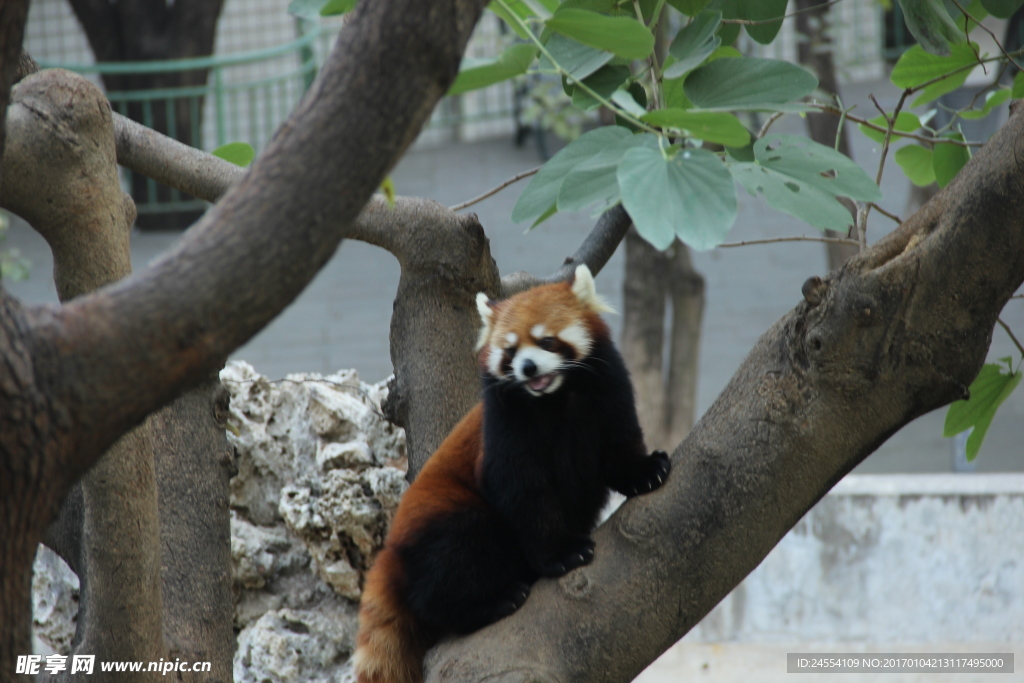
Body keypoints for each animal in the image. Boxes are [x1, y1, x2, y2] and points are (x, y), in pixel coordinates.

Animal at [354, 266, 671, 683]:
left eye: (547, 341)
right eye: (510, 350)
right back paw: (493, 601)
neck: (556, 398)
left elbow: (619, 446)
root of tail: (392, 550)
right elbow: (525, 495)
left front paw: (644, 471)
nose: (528, 367)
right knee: (455, 560)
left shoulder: (608, 391)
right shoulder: (505, 430)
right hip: (443, 515)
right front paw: (561, 553)